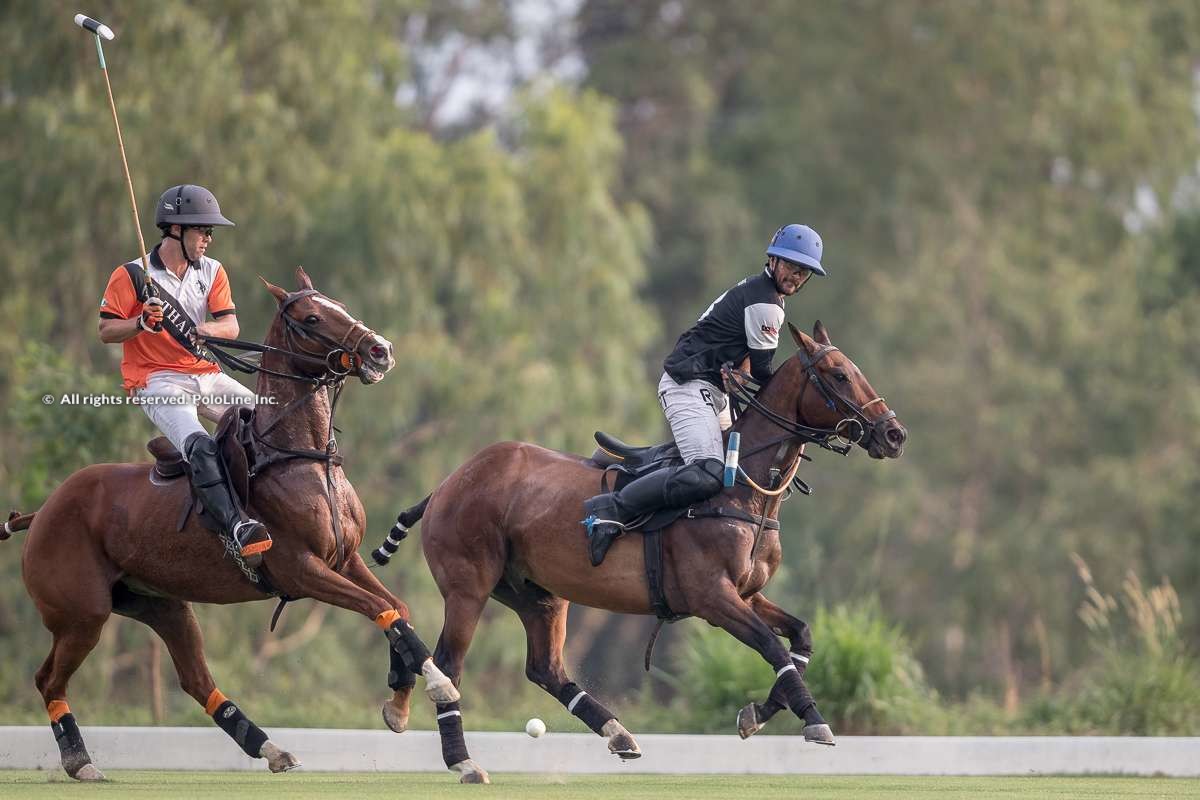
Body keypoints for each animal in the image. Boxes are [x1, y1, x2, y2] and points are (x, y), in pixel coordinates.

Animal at [0, 268, 456, 782]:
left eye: (339, 304)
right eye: (312, 317)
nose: (381, 350)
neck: (299, 456)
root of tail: (42, 511)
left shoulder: (345, 559)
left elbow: (396, 607)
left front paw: (398, 702)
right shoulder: (303, 570)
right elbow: (383, 610)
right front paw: (439, 684)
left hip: (161, 605)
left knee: (196, 679)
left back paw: (272, 749)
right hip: (84, 612)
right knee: (48, 679)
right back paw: (81, 762)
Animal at [379, 319, 902, 782]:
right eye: (838, 374)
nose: (894, 435)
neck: (741, 488)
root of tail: (446, 484)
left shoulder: (748, 594)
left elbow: (801, 638)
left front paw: (755, 713)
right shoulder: (713, 598)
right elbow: (774, 647)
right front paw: (815, 721)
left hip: (538, 593)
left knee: (544, 669)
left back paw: (618, 734)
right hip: (468, 586)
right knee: (450, 666)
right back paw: (464, 762)